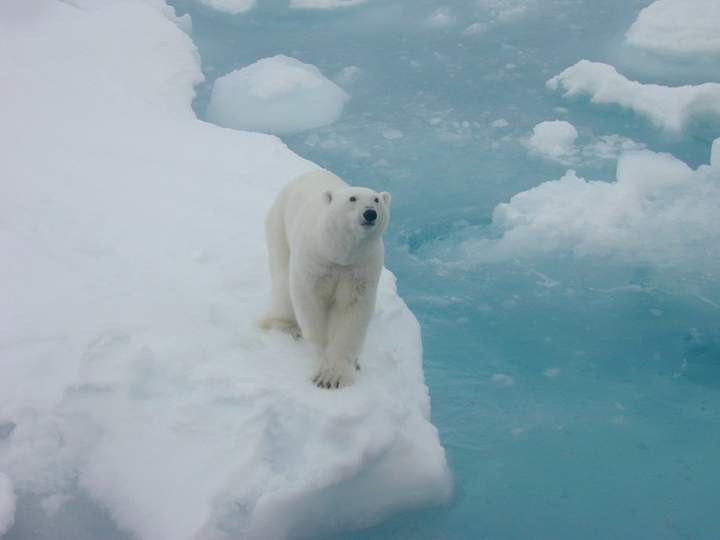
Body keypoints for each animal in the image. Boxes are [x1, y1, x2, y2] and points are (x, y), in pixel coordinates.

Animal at [260, 169, 391, 389]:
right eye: (352, 198)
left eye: (376, 200)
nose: (370, 213)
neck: (338, 253)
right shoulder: (315, 259)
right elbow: (310, 302)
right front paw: (323, 368)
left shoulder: (360, 267)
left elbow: (352, 310)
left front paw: (336, 374)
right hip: (278, 228)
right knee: (283, 283)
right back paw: (287, 326)